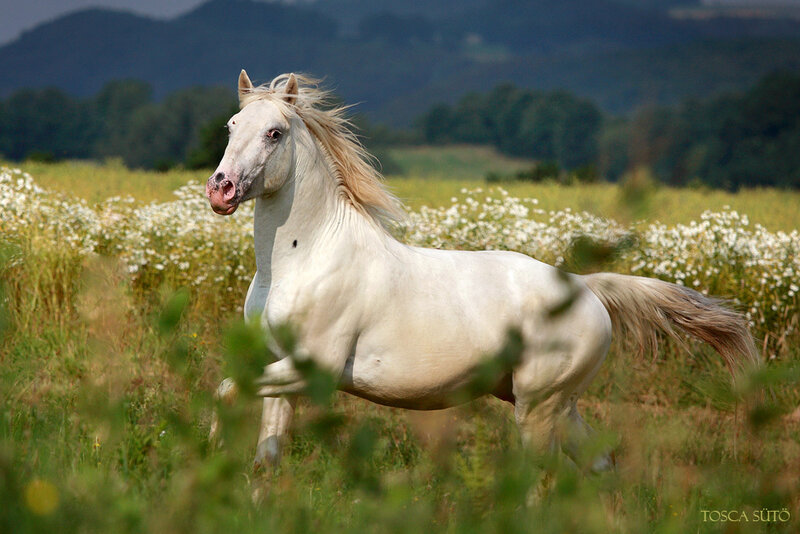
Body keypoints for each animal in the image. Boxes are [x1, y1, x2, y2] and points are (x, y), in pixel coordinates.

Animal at [206, 70, 759, 472]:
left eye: (274, 133)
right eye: (231, 125)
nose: (221, 189)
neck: (306, 258)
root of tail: (585, 288)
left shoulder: (311, 369)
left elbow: (225, 391)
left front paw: (207, 451)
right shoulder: (278, 367)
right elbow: (265, 455)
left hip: (538, 407)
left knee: (544, 476)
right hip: (557, 404)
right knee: (599, 466)